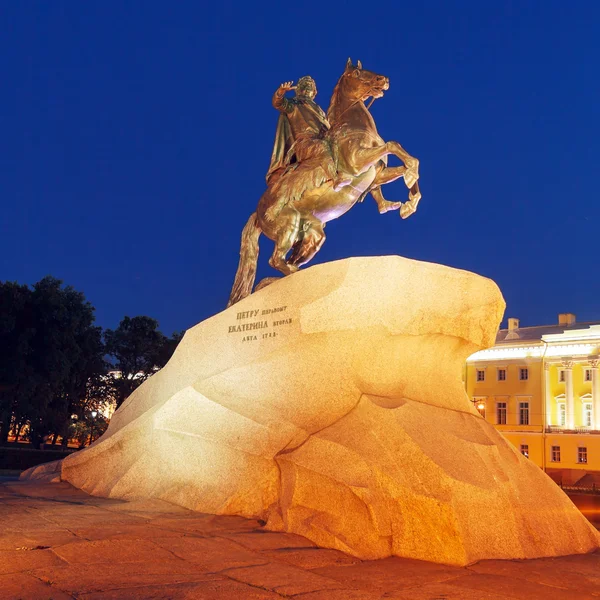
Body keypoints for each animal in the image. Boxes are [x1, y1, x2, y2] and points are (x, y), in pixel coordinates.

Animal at [227, 58, 420, 308]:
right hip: (288, 226)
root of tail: (257, 213)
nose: (383, 79)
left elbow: (405, 163)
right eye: (357, 73)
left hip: (313, 237)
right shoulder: (357, 163)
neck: (352, 126)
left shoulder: (375, 175)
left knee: (289, 260)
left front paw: (409, 201)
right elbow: (393, 145)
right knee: (276, 260)